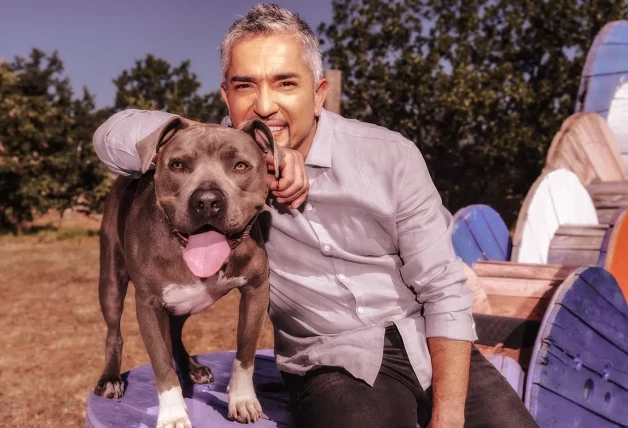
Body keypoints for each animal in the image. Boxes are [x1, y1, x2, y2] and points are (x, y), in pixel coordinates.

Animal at [93, 116, 282, 428]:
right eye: (177, 165)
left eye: (240, 165)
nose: (206, 201)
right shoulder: (149, 305)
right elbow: (161, 364)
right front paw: (173, 415)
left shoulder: (256, 290)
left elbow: (245, 353)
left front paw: (242, 400)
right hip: (111, 278)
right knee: (113, 332)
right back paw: (110, 378)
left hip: (187, 302)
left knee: (175, 331)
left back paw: (191, 368)